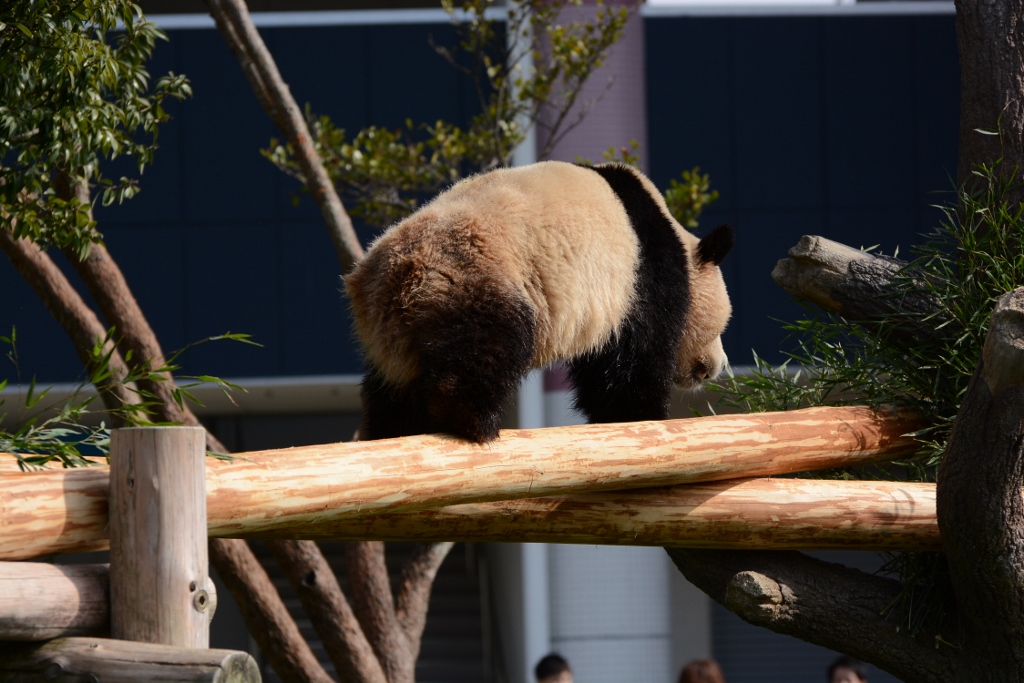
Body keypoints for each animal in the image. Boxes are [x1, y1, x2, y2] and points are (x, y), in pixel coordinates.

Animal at [348, 162, 733, 446]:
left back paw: (392, 430)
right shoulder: (640, 277)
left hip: (392, 336)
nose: (716, 367)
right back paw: (473, 423)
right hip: (477, 274)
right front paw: (639, 415)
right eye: (720, 327)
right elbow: (631, 358)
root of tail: (403, 275)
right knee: (485, 346)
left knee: (391, 390)